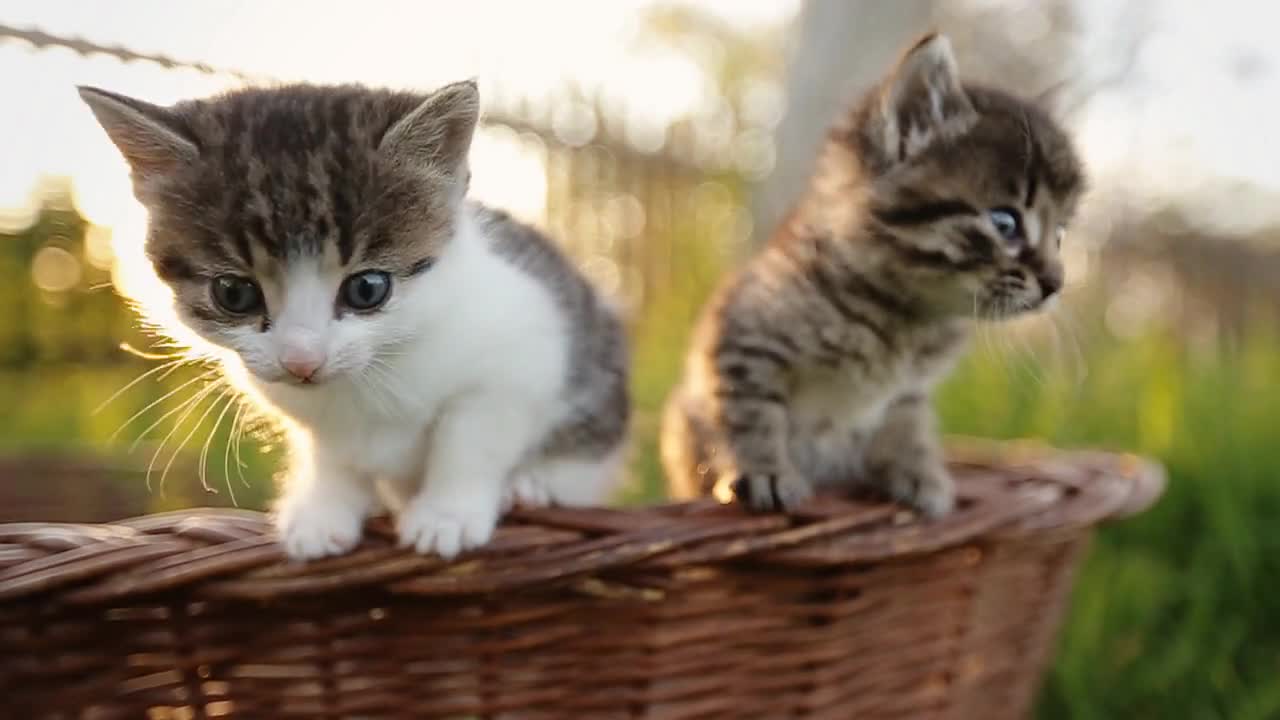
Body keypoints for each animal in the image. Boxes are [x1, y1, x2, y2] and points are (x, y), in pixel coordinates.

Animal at [77, 79, 627, 561]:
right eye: (234, 293)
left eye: (367, 289)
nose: (301, 360)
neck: (370, 378)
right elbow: (332, 456)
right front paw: (323, 513)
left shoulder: (522, 353)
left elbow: (470, 439)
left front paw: (446, 515)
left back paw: (535, 484)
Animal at [665, 33, 1085, 512]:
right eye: (1005, 222)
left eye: (1060, 234)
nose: (1056, 285)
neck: (903, 315)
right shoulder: (743, 335)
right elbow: (748, 405)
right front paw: (763, 469)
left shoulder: (909, 389)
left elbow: (906, 421)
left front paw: (917, 470)